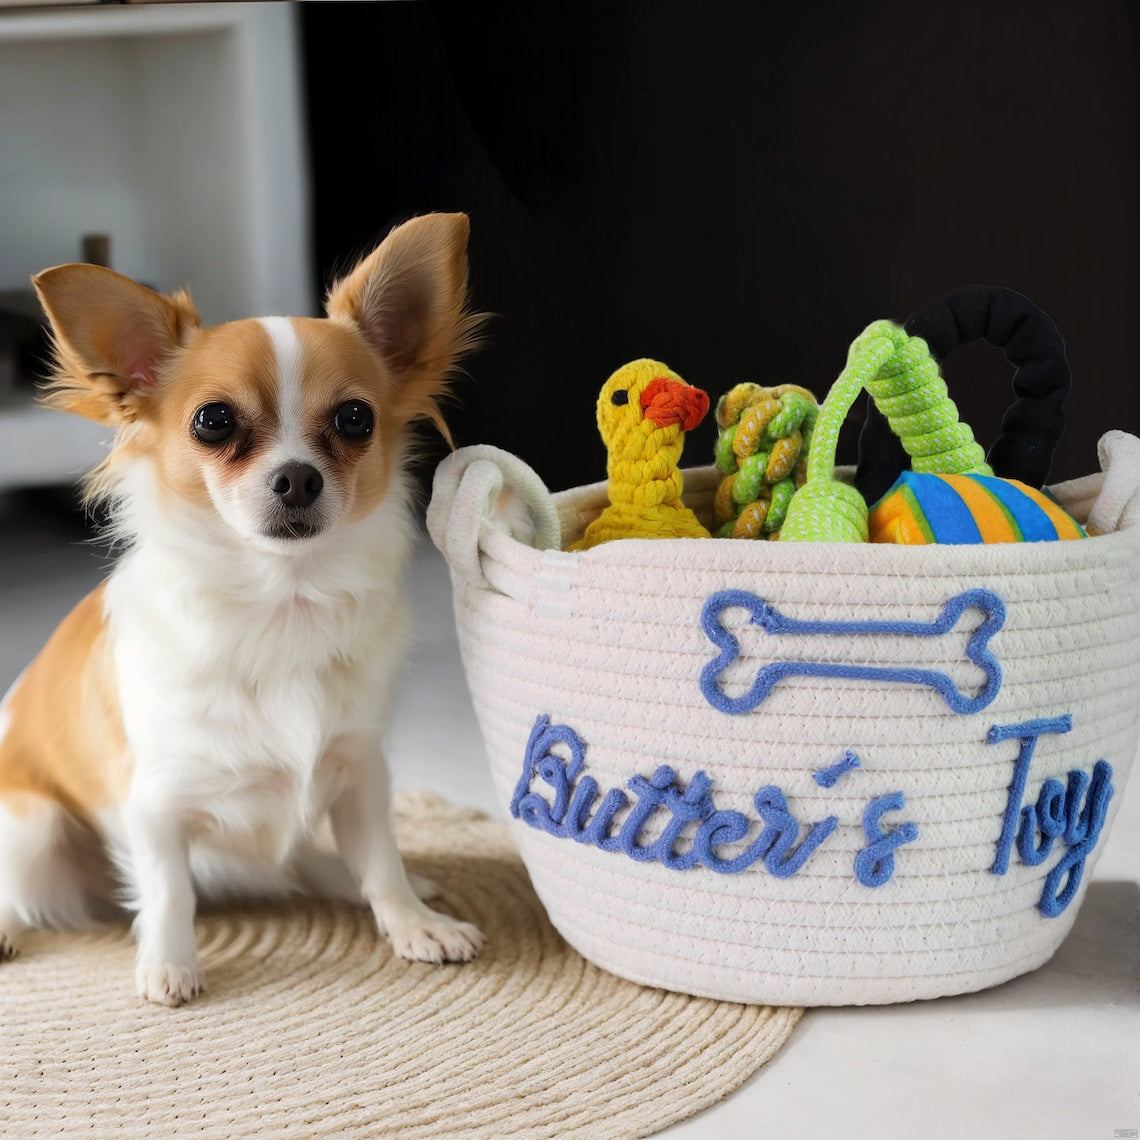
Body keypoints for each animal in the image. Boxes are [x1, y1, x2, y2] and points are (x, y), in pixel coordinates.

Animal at [0, 209, 485, 1003]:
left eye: (356, 419)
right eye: (213, 422)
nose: (297, 478)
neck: (281, 602)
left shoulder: (359, 771)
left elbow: (380, 858)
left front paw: (412, 921)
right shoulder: (155, 804)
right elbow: (169, 891)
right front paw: (169, 965)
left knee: (305, 863)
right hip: (35, 825)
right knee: (25, 892)